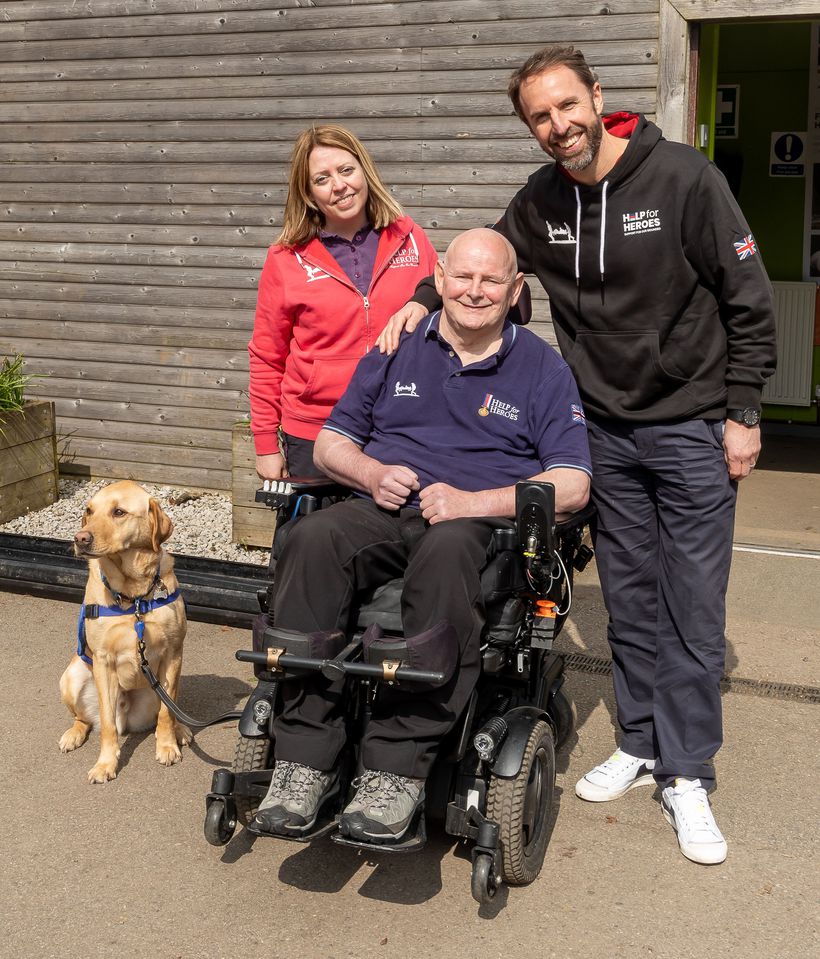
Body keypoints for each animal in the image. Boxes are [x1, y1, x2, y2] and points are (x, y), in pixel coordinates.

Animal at [59, 484, 191, 784]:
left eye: (119, 512)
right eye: (89, 511)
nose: (80, 538)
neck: (134, 597)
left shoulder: (173, 653)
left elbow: (166, 714)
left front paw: (167, 746)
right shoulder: (103, 660)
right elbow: (107, 725)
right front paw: (105, 764)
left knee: (171, 708)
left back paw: (180, 730)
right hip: (71, 677)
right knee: (85, 719)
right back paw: (73, 734)